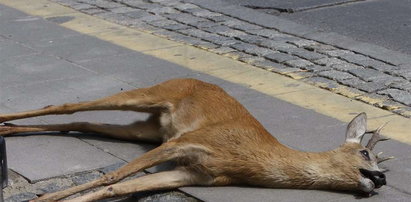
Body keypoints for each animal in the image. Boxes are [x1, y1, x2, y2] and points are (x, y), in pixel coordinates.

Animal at [0, 78, 394, 201]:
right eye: (365, 152)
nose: (381, 179)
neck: (251, 159)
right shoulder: (186, 143)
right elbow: (114, 175)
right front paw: (41, 199)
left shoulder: (194, 173)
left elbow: (117, 187)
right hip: (154, 96)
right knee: (65, 105)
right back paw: (5, 123)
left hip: (147, 129)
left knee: (81, 121)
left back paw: (8, 130)